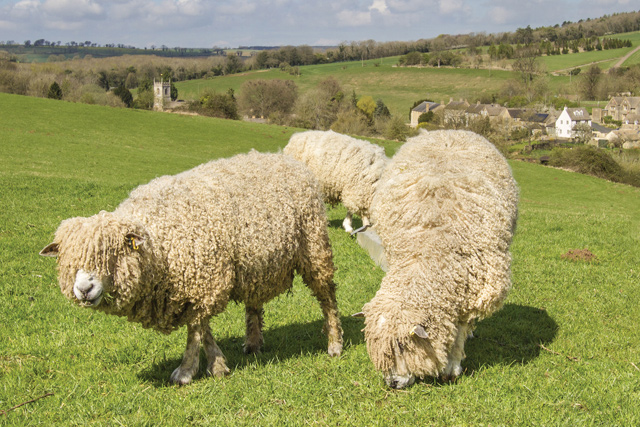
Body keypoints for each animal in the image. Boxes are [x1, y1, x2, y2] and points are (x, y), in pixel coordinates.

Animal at [38, 151, 344, 388]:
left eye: (112, 255)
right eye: (67, 262)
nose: (84, 289)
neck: (158, 244)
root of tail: (286, 159)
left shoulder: (204, 280)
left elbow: (195, 329)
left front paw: (187, 371)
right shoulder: (196, 285)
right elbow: (202, 327)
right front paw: (217, 363)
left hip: (314, 246)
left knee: (327, 297)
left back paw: (334, 344)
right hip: (253, 265)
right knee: (254, 303)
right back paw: (254, 342)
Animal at [362, 130, 516, 388]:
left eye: (403, 345)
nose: (392, 383)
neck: (428, 251)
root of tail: (450, 131)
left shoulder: (471, 287)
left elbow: (461, 328)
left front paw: (452, 366)